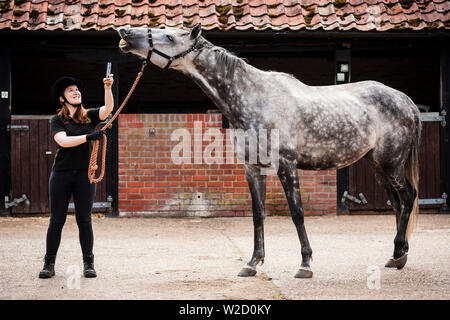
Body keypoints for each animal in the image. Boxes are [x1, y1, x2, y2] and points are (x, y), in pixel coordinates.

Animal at [118, 25, 420, 278]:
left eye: (169, 37)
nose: (125, 33)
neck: (255, 97)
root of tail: (404, 99)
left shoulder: (286, 164)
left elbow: (297, 213)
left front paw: (305, 264)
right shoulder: (252, 168)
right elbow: (258, 214)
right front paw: (253, 263)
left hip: (390, 164)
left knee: (408, 197)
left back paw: (398, 252)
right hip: (377, 165)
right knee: (397, 203)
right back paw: (397, 256)